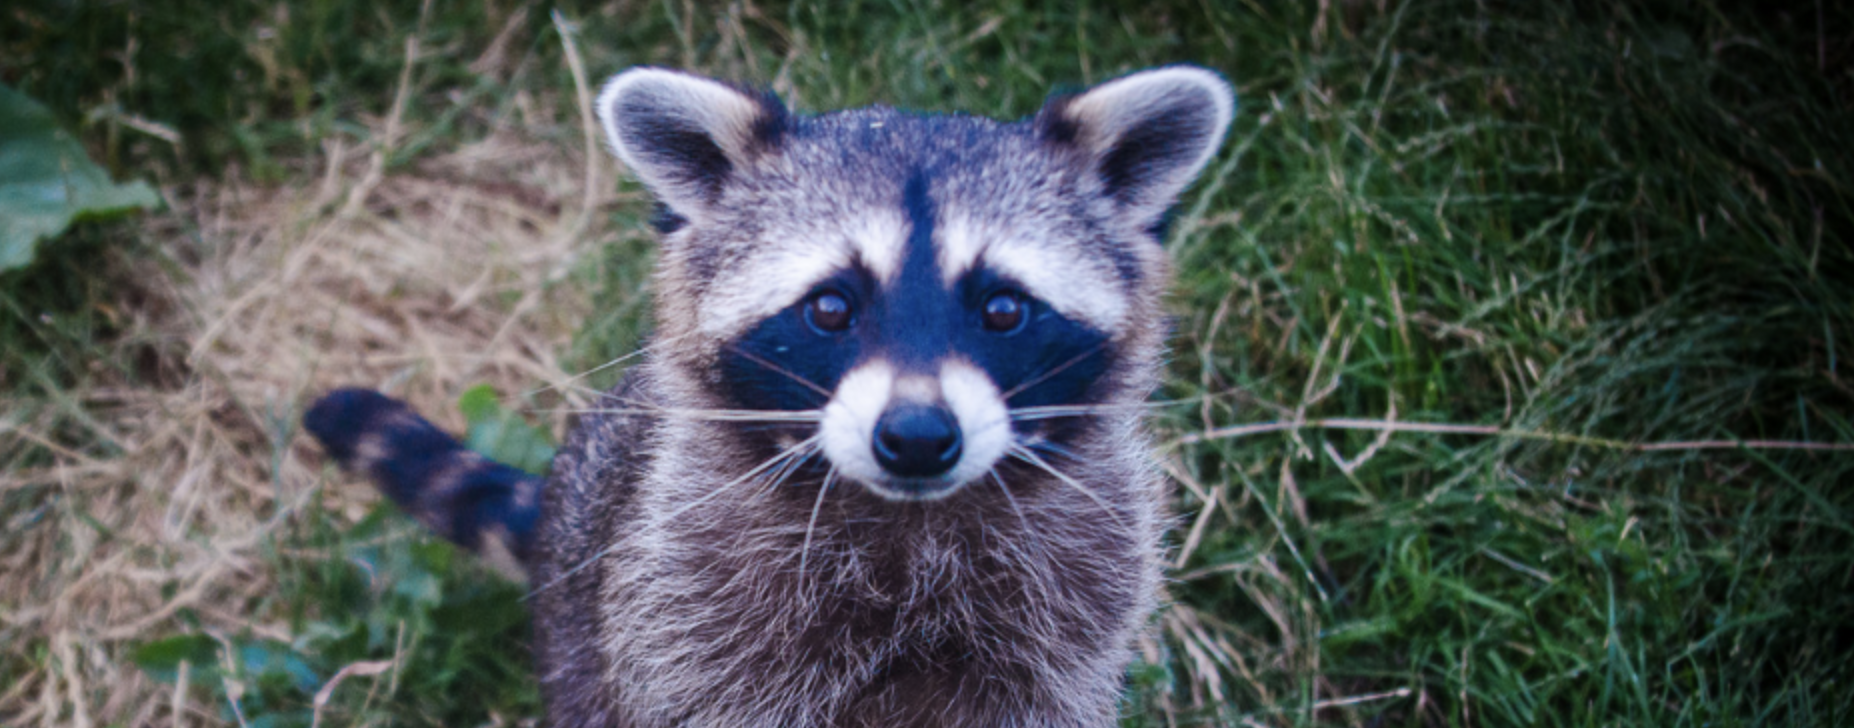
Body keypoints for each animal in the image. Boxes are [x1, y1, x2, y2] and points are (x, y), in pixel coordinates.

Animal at [306, 65, 1233, 726]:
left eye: (1003, 308)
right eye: (830, 307)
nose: (918, 437)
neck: (908, 518)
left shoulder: (1071, 611)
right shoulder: (688, 609)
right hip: (581, 631)